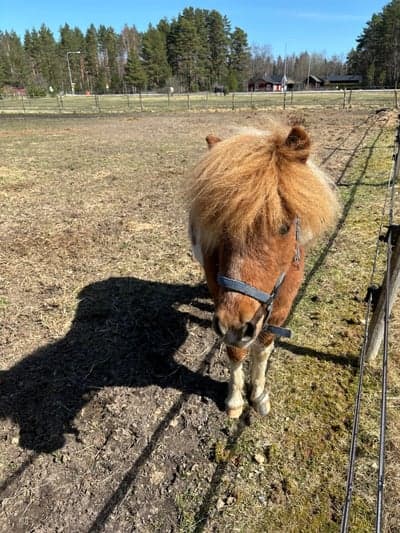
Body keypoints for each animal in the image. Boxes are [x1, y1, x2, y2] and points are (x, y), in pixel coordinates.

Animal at [189, 122, 340, 418]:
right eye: (220, 225)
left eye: (283, 227)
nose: (235, 323)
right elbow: (236, 353)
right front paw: (235, 401)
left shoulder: (279, 311)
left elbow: (262, 351)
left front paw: (258, 395)